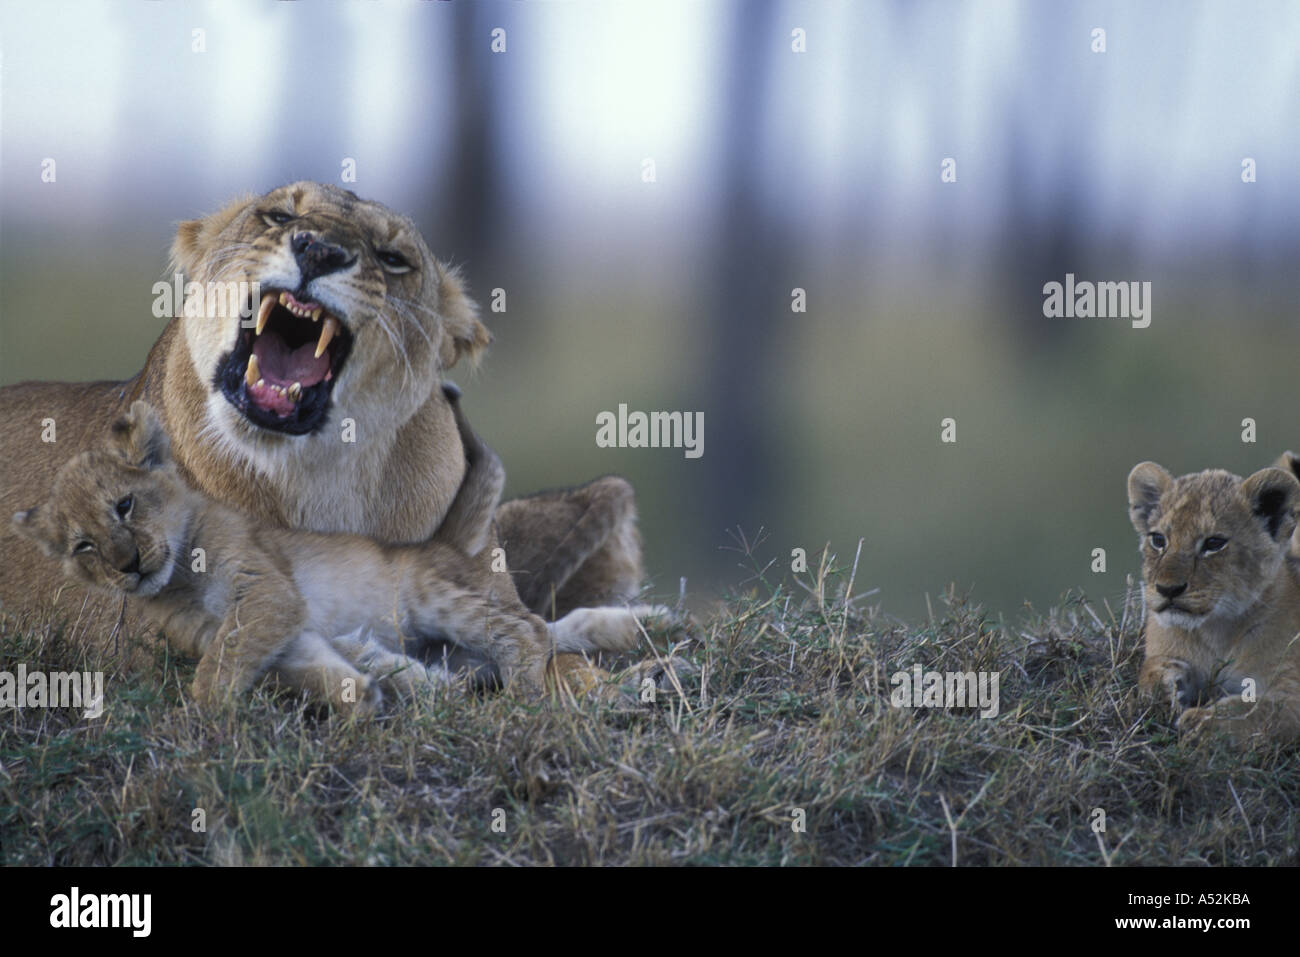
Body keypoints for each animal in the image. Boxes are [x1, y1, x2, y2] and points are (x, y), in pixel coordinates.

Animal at [0, 182, 651, 689]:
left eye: (393, 257)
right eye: (278, 216)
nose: (319, 249)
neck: (321, 470)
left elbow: (540, 646)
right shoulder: (140, 635)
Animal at [1127, 461, 1300, 742]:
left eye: (1214, 543)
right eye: (1158, 540)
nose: (1168, 589)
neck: (1215, 630)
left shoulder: (1291, 691)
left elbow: (1257, 712)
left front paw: (1202, 722)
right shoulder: (1167, 649)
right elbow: (1151, 670)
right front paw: (1162, 694)